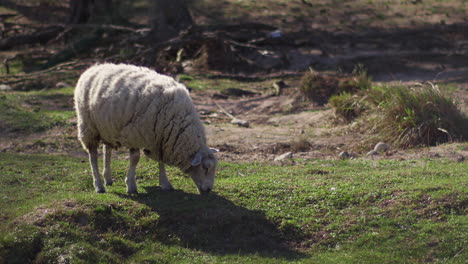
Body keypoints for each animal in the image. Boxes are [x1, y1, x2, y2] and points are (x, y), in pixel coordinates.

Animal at [74, 62, 218, 193]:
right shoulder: (135, 134)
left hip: (107, 127)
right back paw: (98, 185)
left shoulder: (160, 140)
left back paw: (108, 178)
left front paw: (165, 183)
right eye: (205, 168)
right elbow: (135, 158)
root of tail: (94, 67)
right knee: (93, 155)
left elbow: (161, 161)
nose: (208, 190)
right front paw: (131, 185)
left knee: (107, 150)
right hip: (88, 125)